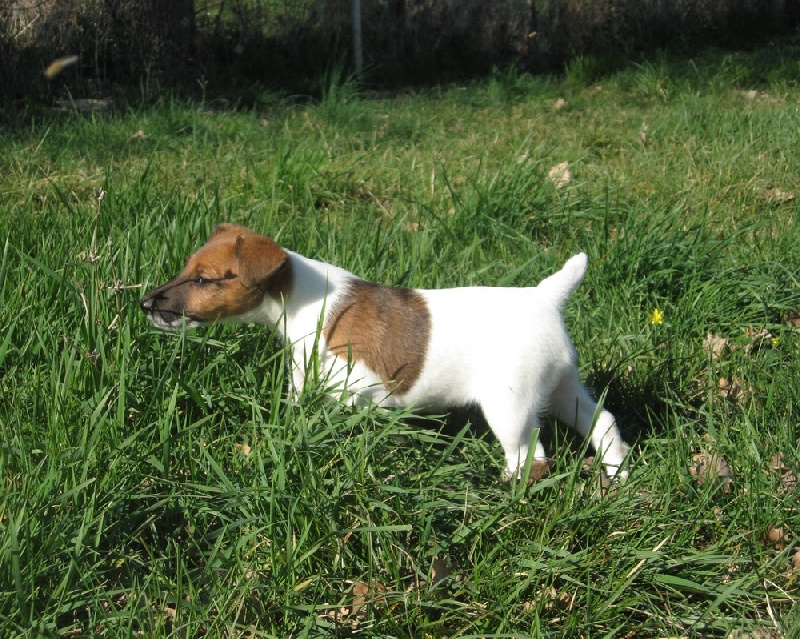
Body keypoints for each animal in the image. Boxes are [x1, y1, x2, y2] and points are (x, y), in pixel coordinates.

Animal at [140, 224, 629, 480]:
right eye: (186, 269)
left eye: (203, 280)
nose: (145, 304)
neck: (302, 300)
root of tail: (546, 297)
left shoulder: (362, 389)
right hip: (563, 387)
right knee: (603, 422)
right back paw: (617, 474)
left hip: (511, 406)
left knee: (532, 456)